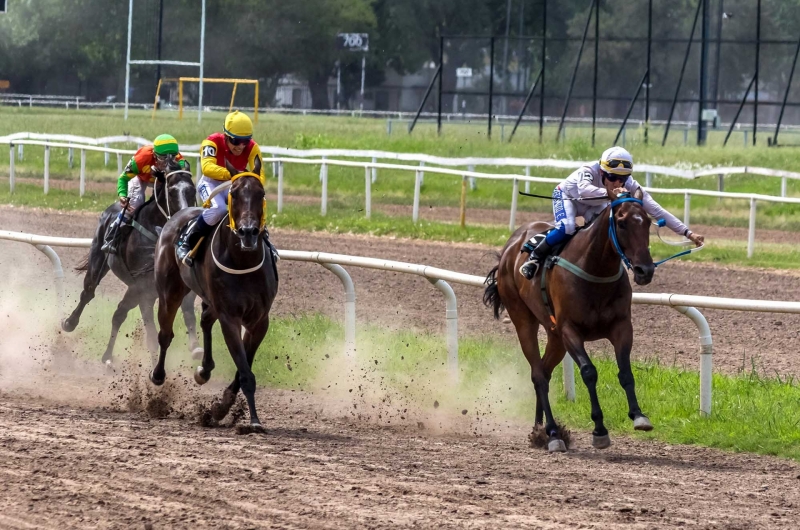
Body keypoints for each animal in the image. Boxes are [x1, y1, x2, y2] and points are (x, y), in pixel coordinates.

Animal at [63, 165, 202, 364]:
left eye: (192, 190)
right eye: (171, 190)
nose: (185, 216)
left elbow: (184, 309)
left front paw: (194, 347)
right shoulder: (141, 285)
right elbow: (136, 322)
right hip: (99, 259)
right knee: (89, 292)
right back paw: (70, 323)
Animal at [152, 157, 280, 428]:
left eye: (261, 193)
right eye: (233, 193)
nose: (248, 232)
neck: (242, 261)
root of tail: (177, 215)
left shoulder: (259, 320)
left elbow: (244, 367)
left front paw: (222, 407)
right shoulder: (230, 317)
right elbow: (245, 371)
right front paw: (252, 420)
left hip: (208, 298)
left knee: (205, 320)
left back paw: (205, 369)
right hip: (170, 292)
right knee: (165, 334)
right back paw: (158, 375)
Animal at [484, 188, 652, 448]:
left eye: (648, 222)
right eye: (622, 223)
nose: (646, 270)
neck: (595, 270)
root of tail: (511, 245)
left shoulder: (622, 326)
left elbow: (625, 371)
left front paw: (638, 416)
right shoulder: (569, 330)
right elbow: (589, 372)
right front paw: (599, 430)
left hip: (554, 336)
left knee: (544, 370)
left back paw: (539, 430)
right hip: (523, 319)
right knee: (538, 375)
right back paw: (553, 433)